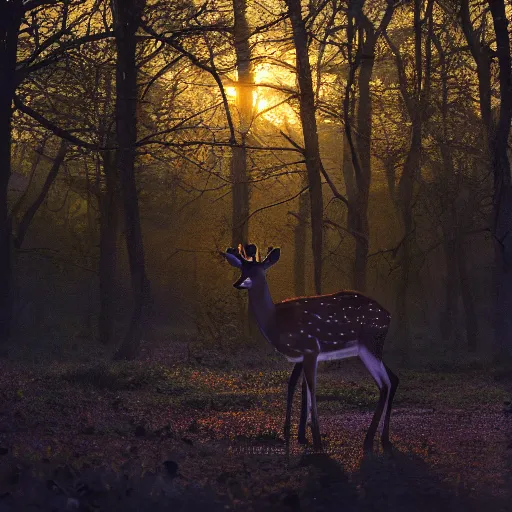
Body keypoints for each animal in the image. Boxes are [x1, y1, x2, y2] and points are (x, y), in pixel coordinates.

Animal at [220, 244, 400, 452]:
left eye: (258, 271)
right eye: (242, 269)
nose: (238, 283)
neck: (276, 322)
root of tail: (388, 316)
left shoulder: (310, 348)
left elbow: (311, 389)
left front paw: (316, 440)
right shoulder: (302, 356)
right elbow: (298, 386)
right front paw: (299, 434)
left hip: (369, 345)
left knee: (384, 383)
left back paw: (369, 439)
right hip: (370, 349)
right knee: (392, 379)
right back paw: (382, 437)